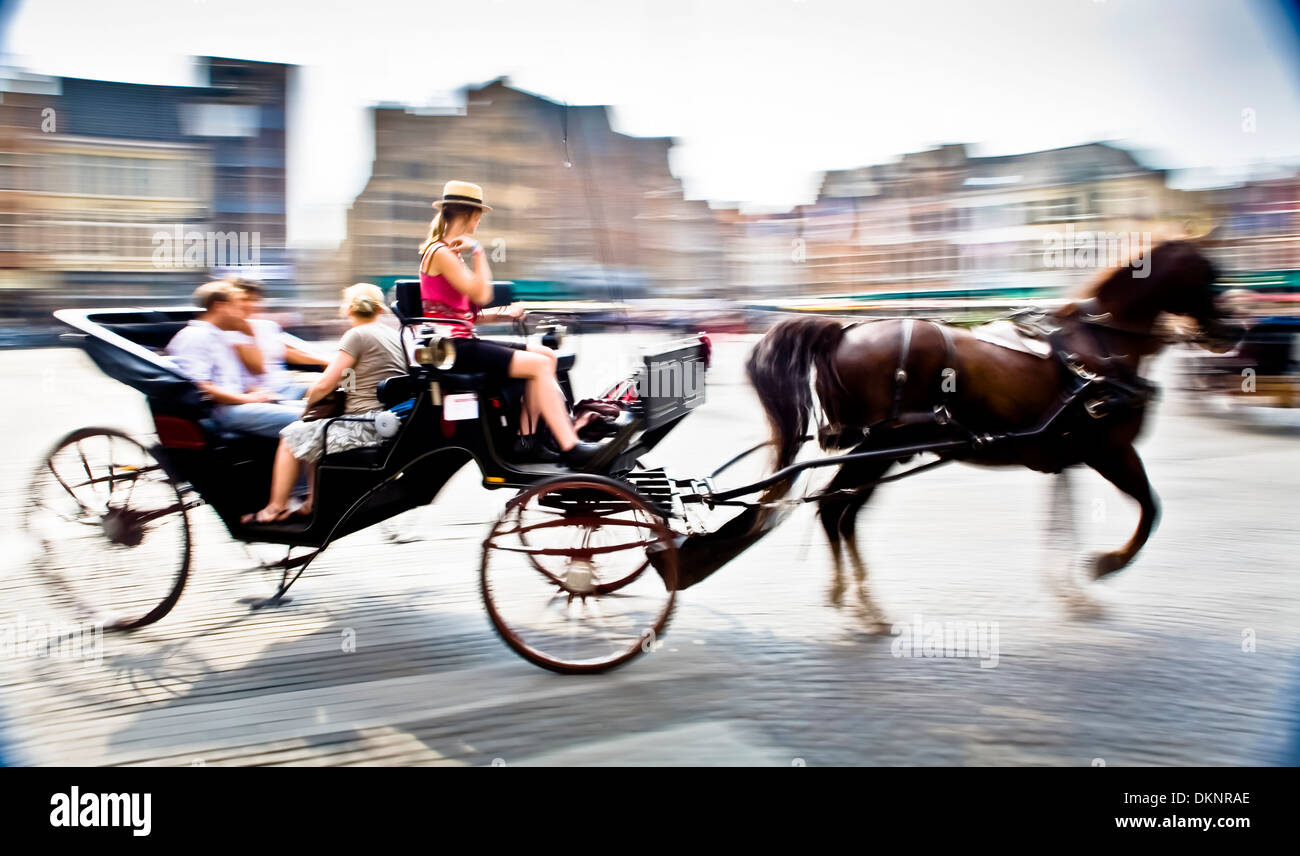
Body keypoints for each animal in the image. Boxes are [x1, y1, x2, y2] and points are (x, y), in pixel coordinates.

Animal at [748, 239, 1232, 627]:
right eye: (1210, 275)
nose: (1232, 329)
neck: (1100, 347)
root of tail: (843, 332)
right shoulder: (1111, 450)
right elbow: (1150, 509)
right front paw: (1107, 564)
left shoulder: (1066, 458)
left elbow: (1062, 524)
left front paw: (1070, 592)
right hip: (881, 446)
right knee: (834, 509)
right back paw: (861, 602)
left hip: (882, 450)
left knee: (840, 512)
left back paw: (857, 599)